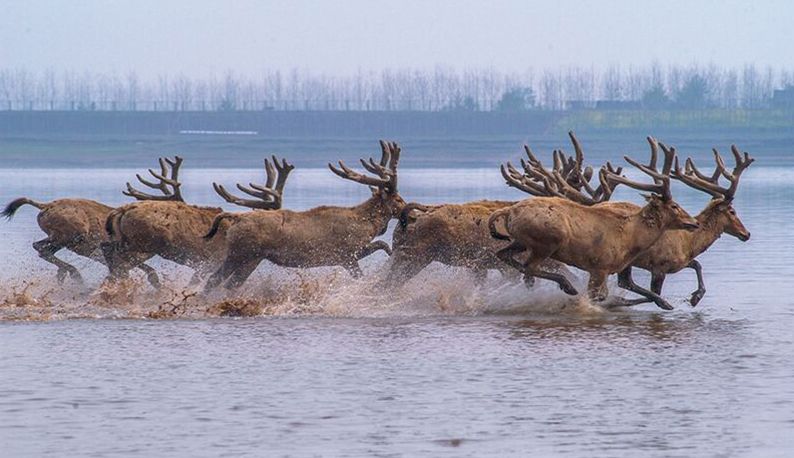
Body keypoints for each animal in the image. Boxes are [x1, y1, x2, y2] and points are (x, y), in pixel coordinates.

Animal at [201, 140, 406, 290]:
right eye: (398, 199)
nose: (406, 209)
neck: (367, 225)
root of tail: (236, 217)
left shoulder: (349, 254)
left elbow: (381, 243)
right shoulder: (346, 254)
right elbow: (372, 257)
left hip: (249, 257)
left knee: (222, 281)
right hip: (243, 254)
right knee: (219, 281)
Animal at [486, 139, 696, 312]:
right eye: (674, 206)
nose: (694, 222)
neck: (631, 238)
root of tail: (509, 211)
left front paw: (666, 303)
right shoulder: (599, 266)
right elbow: (597, 296)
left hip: (521, 241)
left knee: (506, 256)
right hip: (546, 242)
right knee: (529, 268)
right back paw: (567, 287)